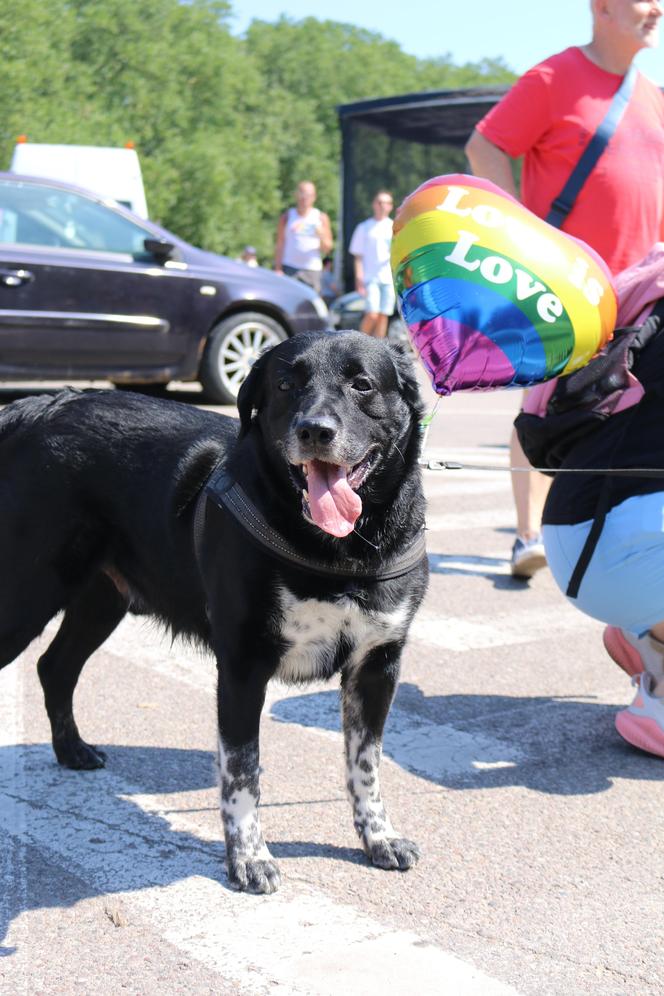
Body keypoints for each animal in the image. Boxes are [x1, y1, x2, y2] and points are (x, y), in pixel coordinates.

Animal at [0, 330, 428, 892]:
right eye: (286, 384)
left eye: (362, 384)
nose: (315, 430)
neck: (340, 551)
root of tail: (38, 405)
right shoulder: (244, 665)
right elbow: (242, 771)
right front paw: (249, 857)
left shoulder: (378, 664)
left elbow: (367, 765)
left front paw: (378, 836)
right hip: (27, 592)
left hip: (101, 599)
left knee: (55, 667)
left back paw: (73, 751)